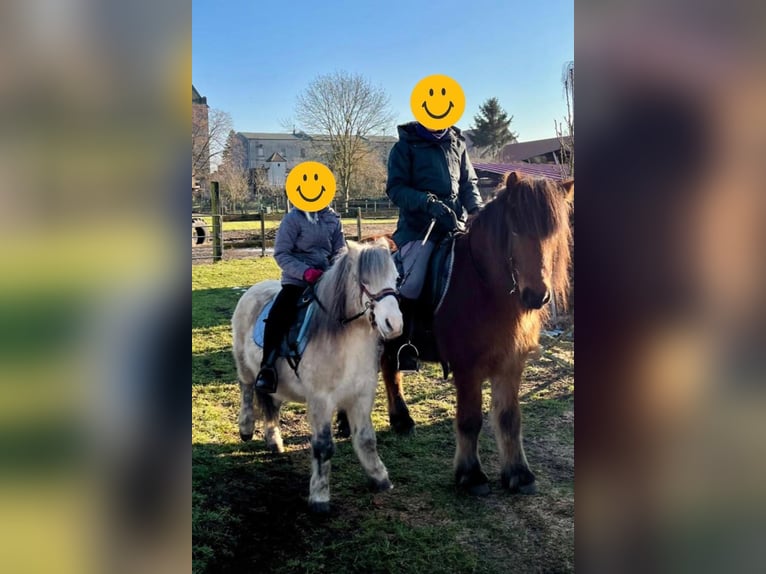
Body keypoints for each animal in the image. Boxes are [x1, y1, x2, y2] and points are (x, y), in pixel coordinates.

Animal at [232, 239, 403, 512]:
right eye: (364, 280)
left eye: (396, 278)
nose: (394, 324)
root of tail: (252, 289)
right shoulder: (321, 400)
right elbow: (323, 447)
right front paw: (320, 498)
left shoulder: (362, 396)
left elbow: (367, 439)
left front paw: (380, 478)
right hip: (245, 367)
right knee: (247, 391)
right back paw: (246, 429)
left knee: (271, 406)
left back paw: (274, 441)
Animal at [381, 171, 573, 495]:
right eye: (515, 230)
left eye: (553, 233)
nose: (537, 296)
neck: (486, 289)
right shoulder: (467, 368)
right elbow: (470, 420)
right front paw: (470, 475)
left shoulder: (511, 364)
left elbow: (510, 419)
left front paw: (519, 474)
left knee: (388, 370)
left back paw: (400, 421)